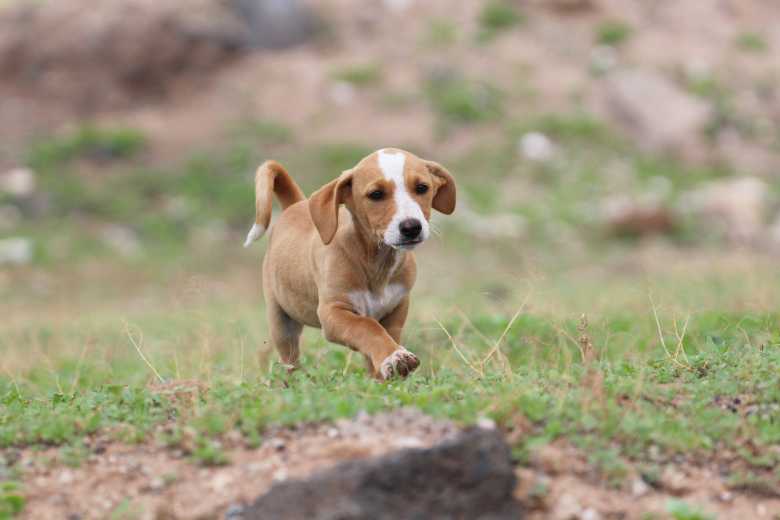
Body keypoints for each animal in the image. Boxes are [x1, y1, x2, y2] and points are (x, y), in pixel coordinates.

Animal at [243, 148, 456, 380]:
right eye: (376, 194)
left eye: (422, 188)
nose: (411, 227)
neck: (376, 263)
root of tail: (296, 204)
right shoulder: (332, 313)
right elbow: (366, 327)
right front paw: (395, 357)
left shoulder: (396, 308)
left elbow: (382, 338)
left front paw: (386, 369)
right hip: (281, 321)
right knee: (289, 359)